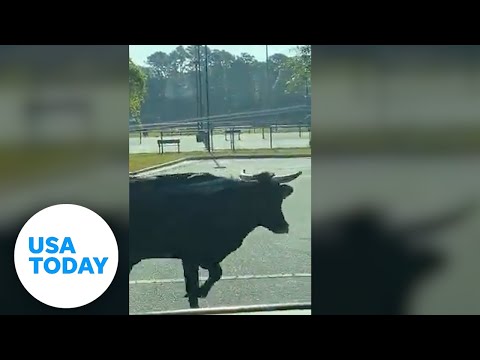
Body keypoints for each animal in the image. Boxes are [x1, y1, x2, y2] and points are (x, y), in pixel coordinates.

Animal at [129, 171, 298, 306]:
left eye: (279, 198)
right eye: (259, 199)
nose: (283, 226)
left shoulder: (205, 257)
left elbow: (216, 273)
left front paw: (202, 291)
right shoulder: (190, 256)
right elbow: (194, 288)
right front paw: (198, 294)